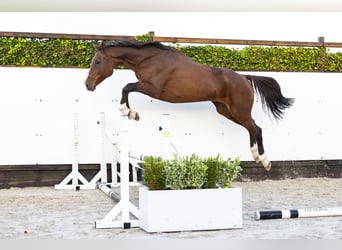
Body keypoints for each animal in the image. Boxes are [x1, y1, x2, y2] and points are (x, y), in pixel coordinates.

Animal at [85, 41, 294, 171]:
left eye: (98, 61)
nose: (88, 85)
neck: (150, 59)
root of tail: (244, 77)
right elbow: (127, 88)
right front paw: (130, 113)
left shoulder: (153, 88)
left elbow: (127, 87)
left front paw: (129, 112)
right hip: (226, 111)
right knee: (252, 128)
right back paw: (257, 157)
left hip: (238, 112)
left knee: (256, 129)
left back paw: (264, 161)